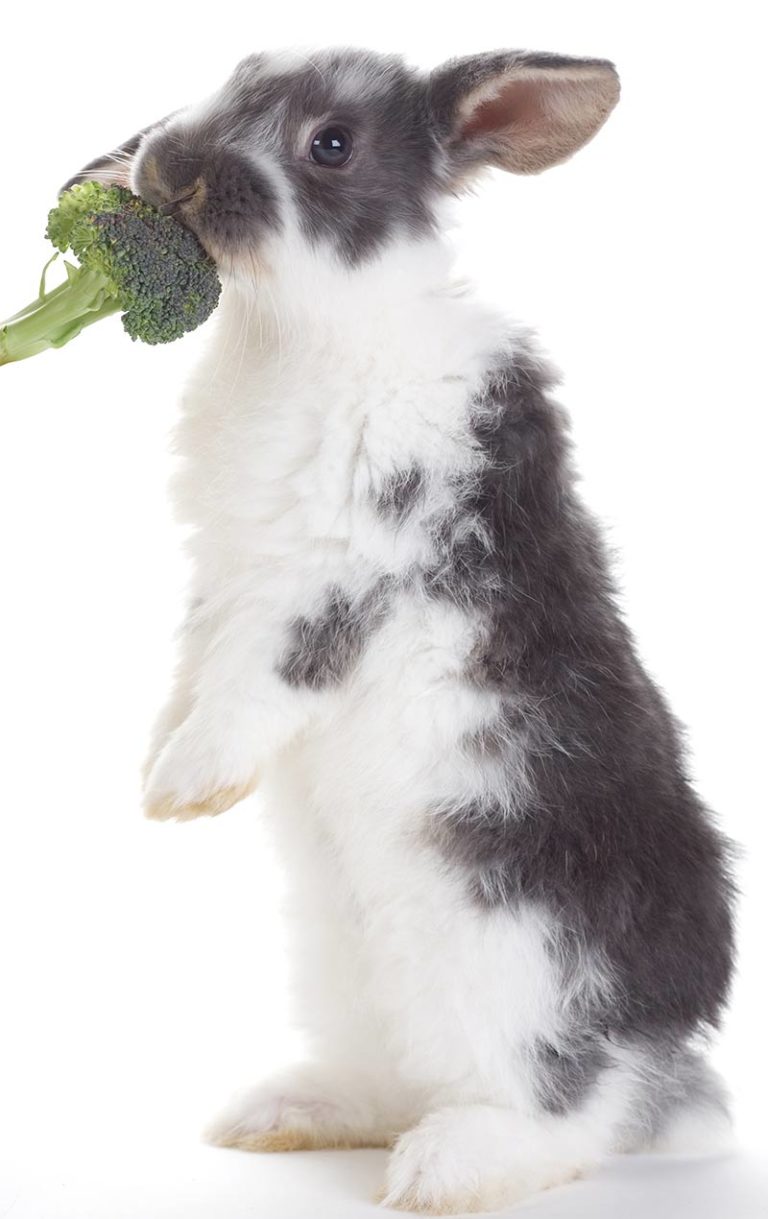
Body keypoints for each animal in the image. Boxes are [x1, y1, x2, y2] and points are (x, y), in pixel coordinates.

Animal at [69, 46, 736, 1213]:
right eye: (239, 70)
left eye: (331, 144)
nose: (174, 170)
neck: (306, 328)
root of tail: (668, 1061)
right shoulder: (223, 576)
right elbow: (195, 671)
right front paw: (162, 769)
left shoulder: (345, 575)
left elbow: (259, 679)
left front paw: (185, 789)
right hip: (350, 967)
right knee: (394, 1076)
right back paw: (282, 1115)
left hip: (519, 960)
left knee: (570, 1109)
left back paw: (447, 1166)